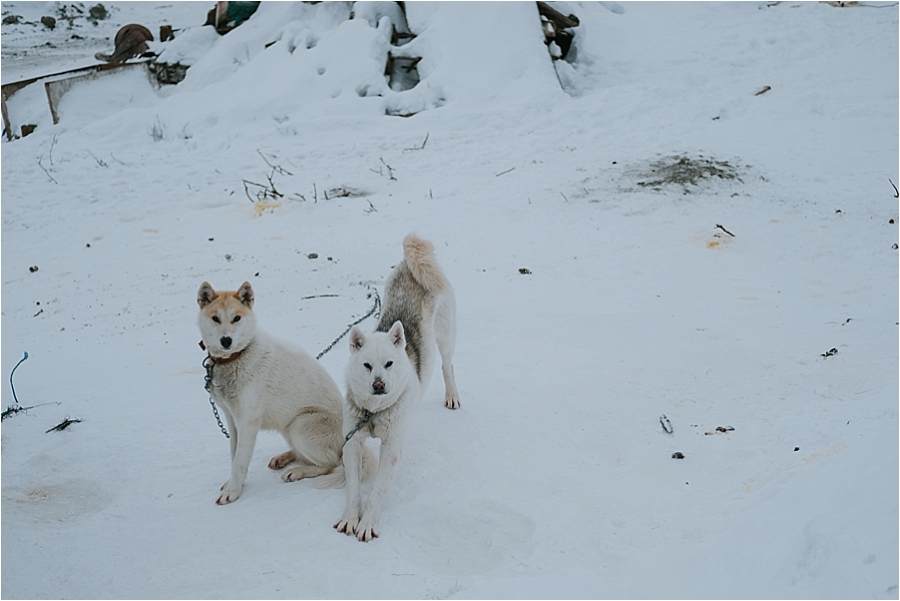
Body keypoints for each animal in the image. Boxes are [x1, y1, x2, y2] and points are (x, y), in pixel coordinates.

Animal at [195, 280, 370, 502]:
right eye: (216, 318)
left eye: (236, 318)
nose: (226, 341)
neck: (236, 357)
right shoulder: (232, 421)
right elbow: (234, 458)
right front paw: (233, 484)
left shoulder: (247, 424)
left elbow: (239, 463)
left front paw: (232, 492)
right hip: (287, 426)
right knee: (304, 455)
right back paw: (284, 457)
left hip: (300, 424)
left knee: (329, 464)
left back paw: (297, 471)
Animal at [332, 233, 460, 540]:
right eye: (367, 365)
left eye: (389, 364)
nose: (379, 385)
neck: (374, 412)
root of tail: (411, 263)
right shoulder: (352, 442)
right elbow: (353, 486)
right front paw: (350, 517)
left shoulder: (391, 448)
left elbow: (378, 488)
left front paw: (367, 522)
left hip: (446, 338)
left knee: (447, 366)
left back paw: (452, 395)